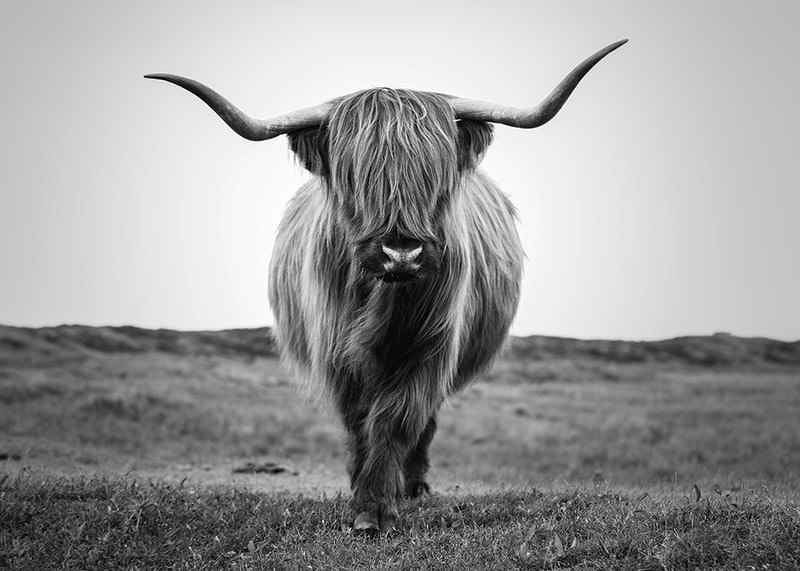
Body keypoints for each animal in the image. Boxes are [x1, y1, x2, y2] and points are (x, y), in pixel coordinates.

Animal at [146, 39, 626, 532]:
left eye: (435, 174)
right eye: (353, 176)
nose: (401, 254)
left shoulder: (430, 347)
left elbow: (397, 418)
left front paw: (377, 505)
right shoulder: (337, 353)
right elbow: (360, 420)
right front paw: (363, 498)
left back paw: (413, 486)